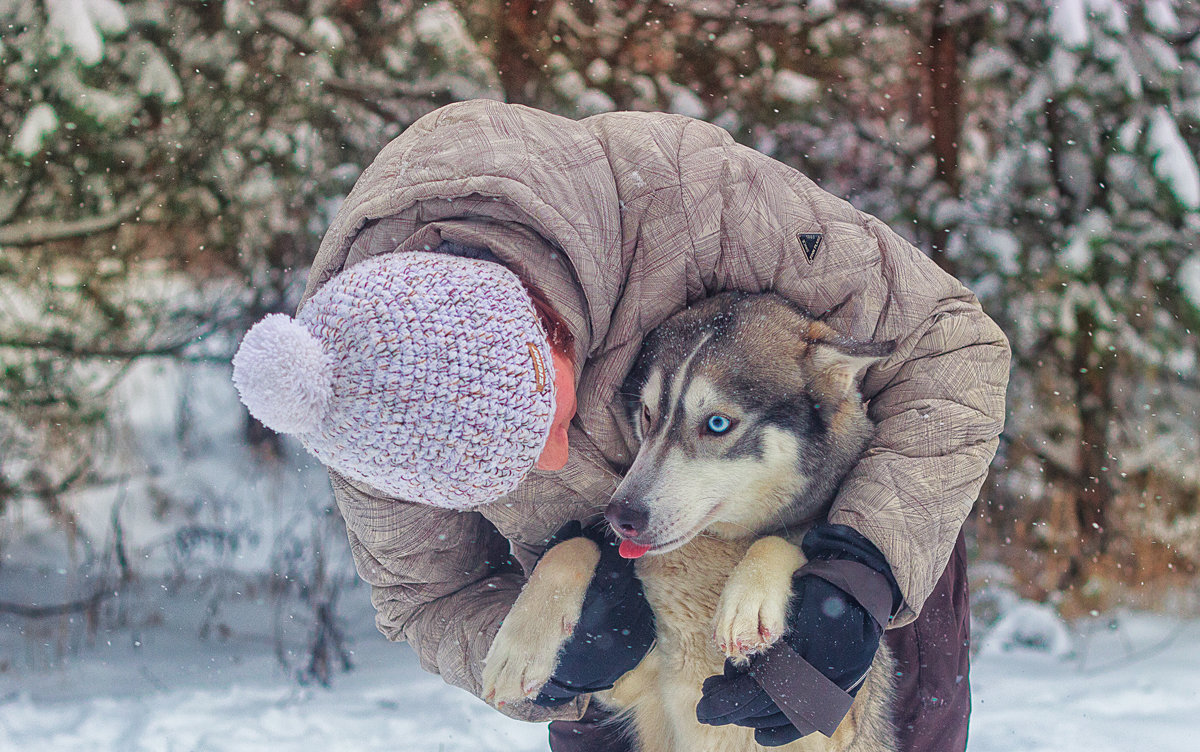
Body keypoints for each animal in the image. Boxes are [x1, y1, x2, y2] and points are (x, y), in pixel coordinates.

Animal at [482, 292, 897, 752]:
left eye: (717, 423)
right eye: (648, 414)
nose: (620, 515)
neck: (711, 553)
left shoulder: (832, 726)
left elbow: (780, 542)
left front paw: (749, 598)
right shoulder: (632, 685)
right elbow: (573, 549)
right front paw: (520, 646)